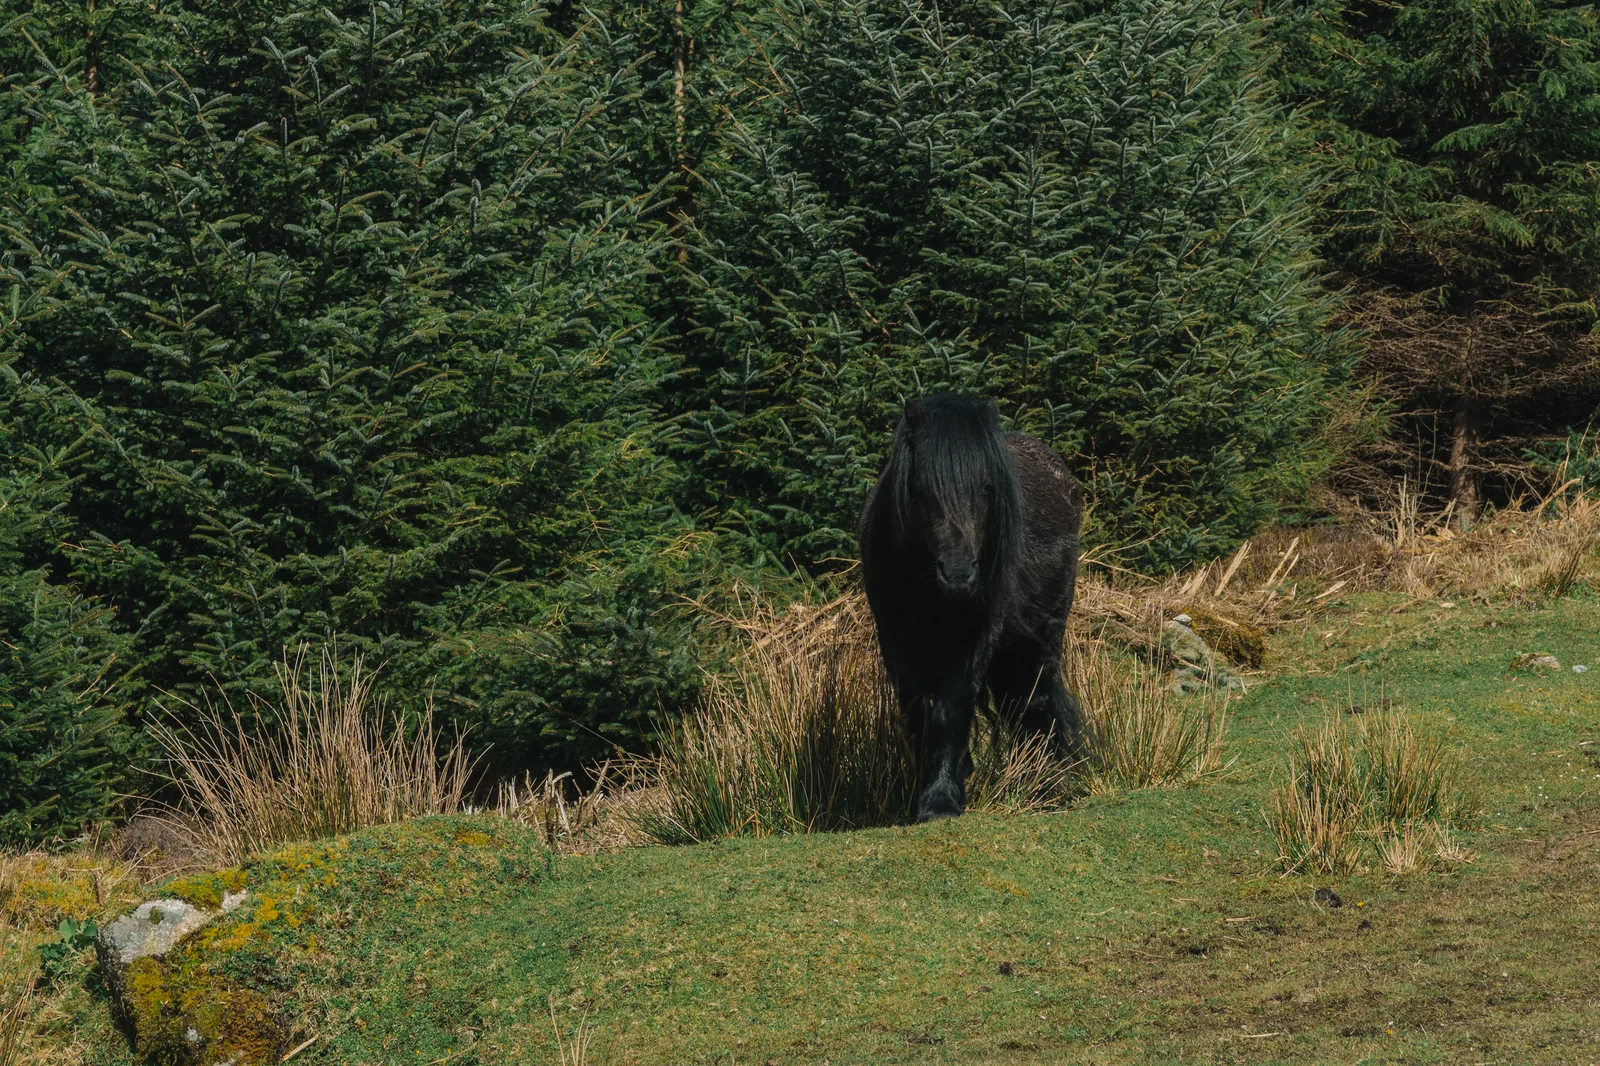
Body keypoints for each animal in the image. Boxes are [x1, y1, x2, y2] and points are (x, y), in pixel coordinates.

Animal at [859, 394, 1083, 822]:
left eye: (986, 487)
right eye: (922, 488)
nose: (959, 574)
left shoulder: (974, 640)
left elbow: (950, 710)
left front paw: (940, 801)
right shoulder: (896, 642)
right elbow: (917, 713)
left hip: (1041, 636)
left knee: (1037, 701)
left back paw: (1043, 788)